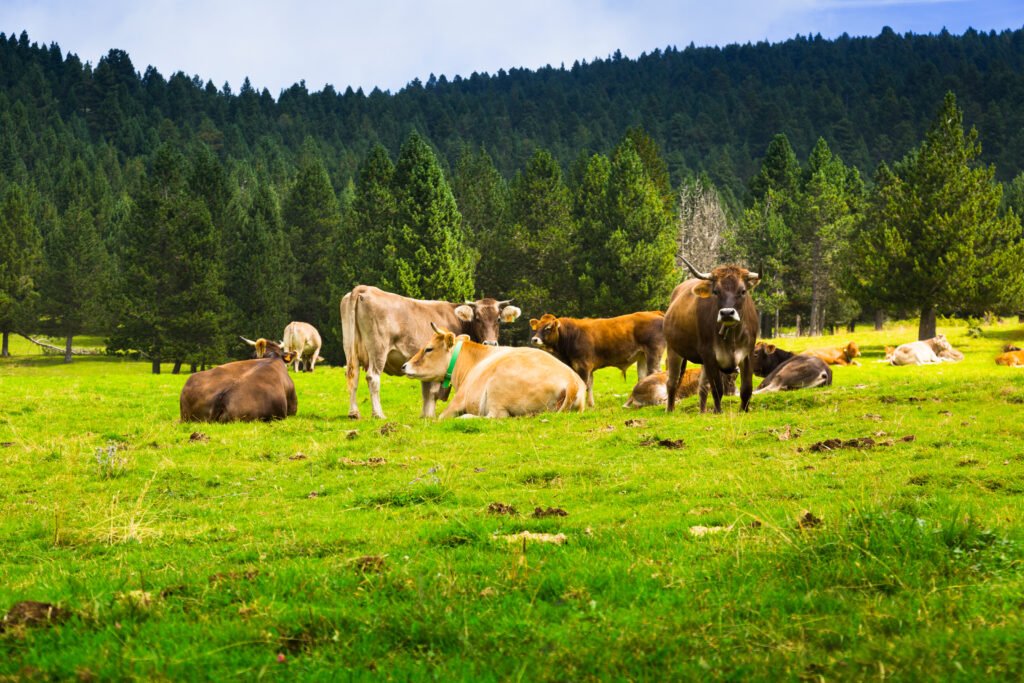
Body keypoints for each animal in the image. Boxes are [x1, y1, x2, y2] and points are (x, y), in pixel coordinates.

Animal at [341, 285, 521, 419]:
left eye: (498, 319)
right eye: (477, 318)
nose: (490, 342)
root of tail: (364, 289)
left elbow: (426, 392)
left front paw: (425, 415)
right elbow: (433, 393)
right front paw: (430, 415)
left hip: (350, 349)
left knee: (352, 376)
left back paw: (353, 413)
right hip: (378, 349)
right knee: (373, 377)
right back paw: (378, 414)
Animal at [401, 324, 586, 418]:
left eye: (428, 349)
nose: (404, 366)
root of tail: (571, 380)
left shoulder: (459, 400)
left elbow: (441, 417)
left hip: (497, 390)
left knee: (495, 416)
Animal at [528, 311, 665, 406]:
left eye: (548, 328)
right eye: (536, 328)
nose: (534, 339)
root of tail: (654, 312)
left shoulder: (584, 366)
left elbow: (584, 385)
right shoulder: (587, 367)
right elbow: (590, 385)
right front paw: (591, 405)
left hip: (654, 352)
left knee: (656, 373)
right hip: (642, 356)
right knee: (642, 377)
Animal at [664, 257, 760, 413]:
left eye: (743, 291)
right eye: (716, 291)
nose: (727, 313)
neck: (731, 337)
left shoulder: (748, 353)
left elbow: (746, 388)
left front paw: (743, 411)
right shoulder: (709, 354)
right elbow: (717, 388)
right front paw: (718, 411)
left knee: (702, 387)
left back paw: (702, 412)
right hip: (673, 350)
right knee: (672, 382)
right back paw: (670, 409)